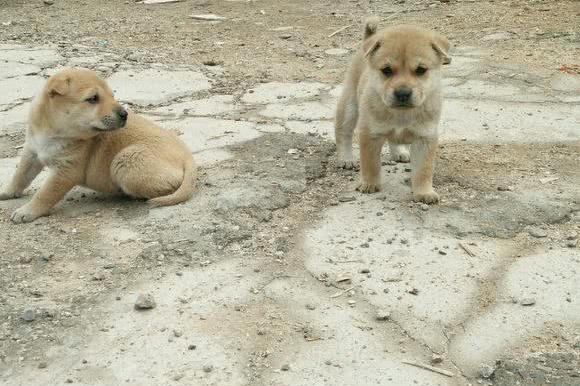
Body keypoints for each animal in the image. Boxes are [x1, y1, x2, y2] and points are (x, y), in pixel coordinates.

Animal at [0, 69, 197, 223]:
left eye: (112, 96)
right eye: (93, 98)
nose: (125, 114)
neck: (53, 133)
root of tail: (188, 156)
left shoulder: (66, 171)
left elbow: (45, 193)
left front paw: (27, 211)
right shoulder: (31, 152)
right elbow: (20, 176)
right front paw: (7, 192)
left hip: (126, 160)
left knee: (168, 187)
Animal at [334, 17, 450, 204]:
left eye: (421, 70)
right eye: (386, 70)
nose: (402, 93)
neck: (401, 114)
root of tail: (368, 39)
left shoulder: (425, 138)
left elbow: (423, 171)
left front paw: (424, 192)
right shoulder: (370, 134)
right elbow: (370, 164)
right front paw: (369, 184)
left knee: (394, 140)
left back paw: (399, 153)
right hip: (349, 106)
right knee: (343, 134)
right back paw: (346, 159)